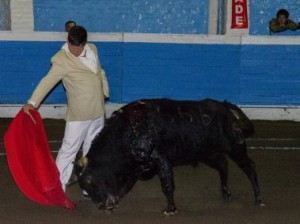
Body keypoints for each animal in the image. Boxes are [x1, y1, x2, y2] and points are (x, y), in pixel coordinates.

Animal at [74, 99, 262, 214]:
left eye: (91, 181)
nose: (101, 205)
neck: (126, 133)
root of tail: (224, 106)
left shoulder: (161, 161)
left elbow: (167, 185)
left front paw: (171, 209)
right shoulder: (135, 168)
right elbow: (124, 186)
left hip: (236, 148)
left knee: (250, 167)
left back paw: (259, 199)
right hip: (207, 154)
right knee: (223, 164)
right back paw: (225, 193)